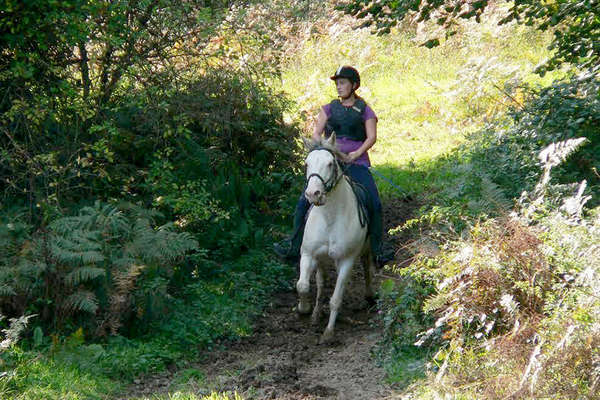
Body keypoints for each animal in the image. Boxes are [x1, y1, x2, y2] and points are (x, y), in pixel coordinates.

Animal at [296, 134, 376, 344]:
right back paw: (316, 313)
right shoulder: (308, 254)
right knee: (321, 282)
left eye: (330, 163)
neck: (330, 217)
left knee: (366, 267)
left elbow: (336, 299)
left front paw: (329, 333)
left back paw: (369, 296)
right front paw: (304, 309)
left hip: (366, 249)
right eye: (306, 163)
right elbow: (303, 285)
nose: (313, 194)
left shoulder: (347, 260)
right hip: (321, 259)